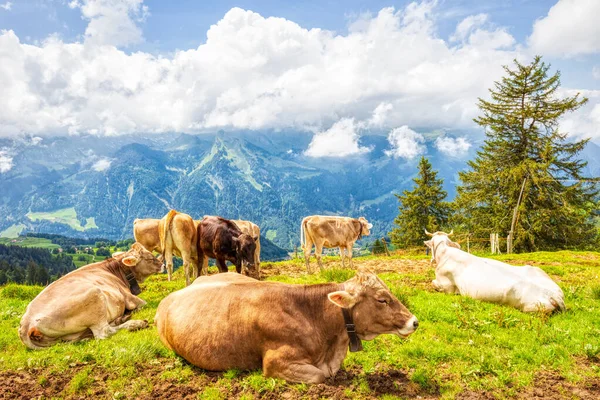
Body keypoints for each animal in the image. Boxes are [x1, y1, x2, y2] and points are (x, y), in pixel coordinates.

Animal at [19, 242, 164, 348]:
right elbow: (144, 304)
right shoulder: (128, 297)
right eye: (149, 257)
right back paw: (135, 323)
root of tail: (26, 323)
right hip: (94, 295)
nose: (163, 265)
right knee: (104, 332)